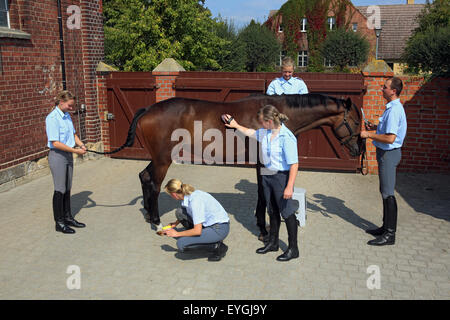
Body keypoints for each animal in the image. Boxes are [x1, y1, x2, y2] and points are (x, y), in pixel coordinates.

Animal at [89, 94, 364, 234]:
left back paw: (148, 214)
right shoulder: (261, 164)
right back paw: (156, 220)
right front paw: (262, 228)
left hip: (157, 157)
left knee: (144, 177)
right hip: (163, 159)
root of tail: (148, 109)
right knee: (154, 184)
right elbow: (262, 195)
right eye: (355, 121)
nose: (359, 149)